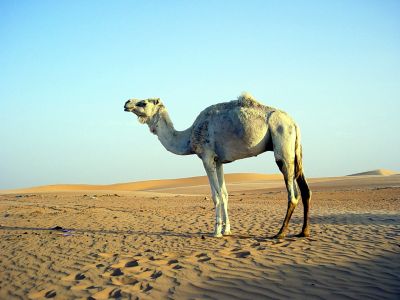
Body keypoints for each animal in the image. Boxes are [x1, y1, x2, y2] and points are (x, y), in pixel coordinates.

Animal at [123, 92, 310, 238]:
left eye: (143, 102)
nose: (126, 102)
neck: (189, 136)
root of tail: (294, 123)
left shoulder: (207, 157)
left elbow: (216, 196)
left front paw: (216, 231)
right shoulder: (219, 161)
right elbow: (225, 194)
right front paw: (227, 230)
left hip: (282, 143)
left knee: (292, 194)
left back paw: (280, 233)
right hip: (295, 150)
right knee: (305, 190)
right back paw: (303, 232)